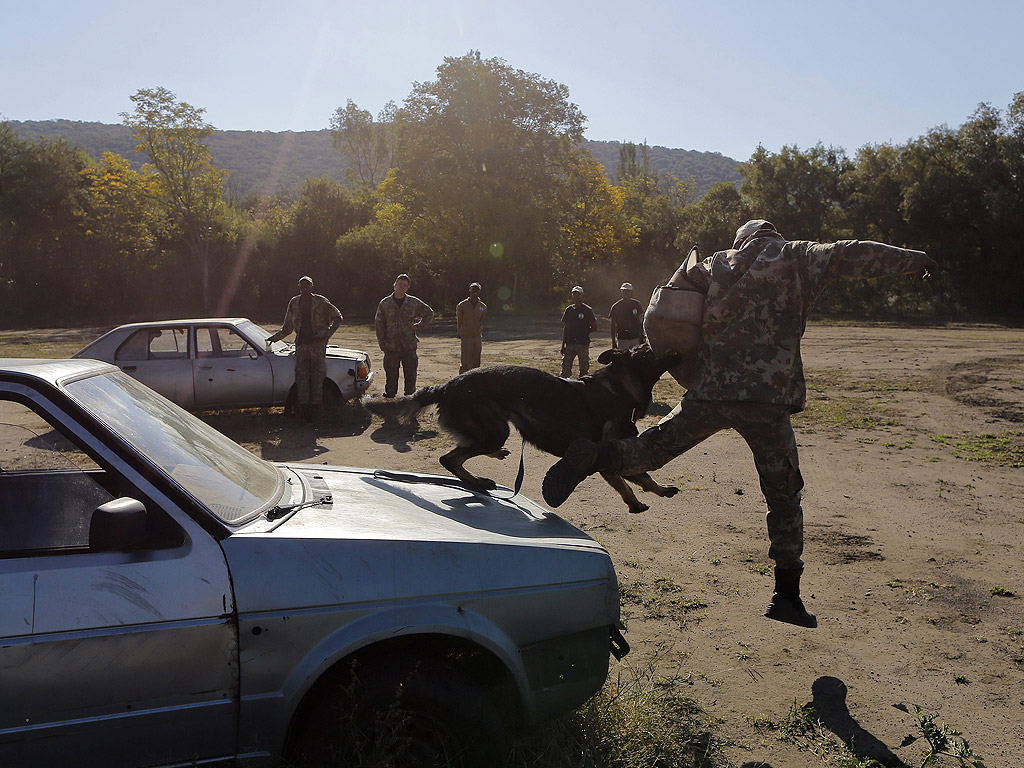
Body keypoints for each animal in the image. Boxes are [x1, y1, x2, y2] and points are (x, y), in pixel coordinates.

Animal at [364, 346, 684, 514]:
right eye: (648, 352)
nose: (675, 348)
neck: (618, 390)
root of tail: (445, 386)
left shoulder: (617, 453)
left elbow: (644, 476)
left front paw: (658, 491)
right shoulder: (607, 457)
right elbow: (632, 481)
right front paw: (636, 503)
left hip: (494, 430)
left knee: (463, 453)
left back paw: (487, 467)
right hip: (495, 429)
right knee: (450, 459)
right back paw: (479, 481)